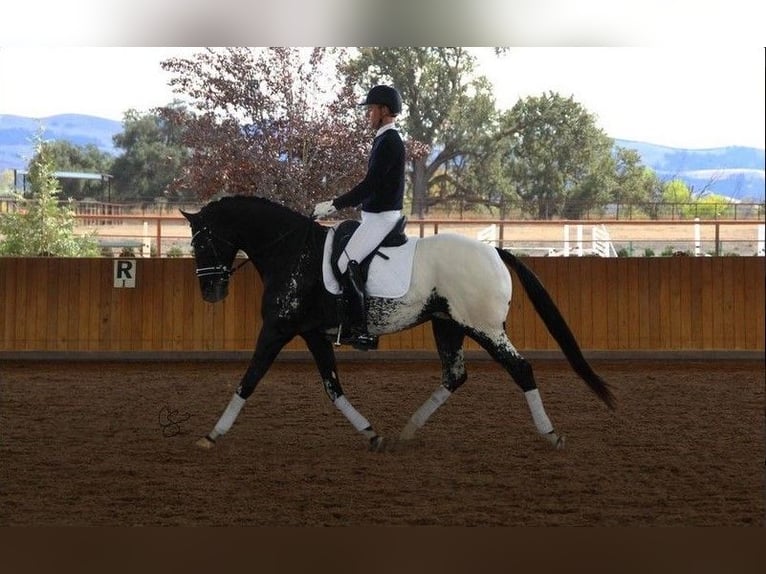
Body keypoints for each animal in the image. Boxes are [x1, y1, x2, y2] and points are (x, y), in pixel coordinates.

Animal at [182, 198, 616, 454]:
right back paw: (408, 430)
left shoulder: (278, 329)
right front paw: (371, 433)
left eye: (201, 242)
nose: (211, 293)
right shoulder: (311, 333)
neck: (291, 251)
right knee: (454, 375)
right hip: (448, 325)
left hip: (485, 328)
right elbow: (333, 389)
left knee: (521, 369)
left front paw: (211, 435)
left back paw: (551, 433)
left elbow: (249, 379)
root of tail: (494, 250)